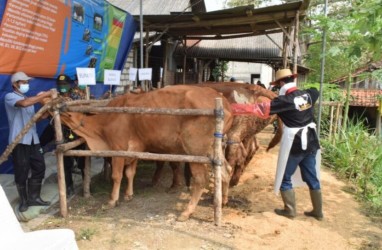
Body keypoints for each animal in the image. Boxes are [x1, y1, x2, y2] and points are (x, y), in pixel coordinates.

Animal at [55, 85, 233, 221]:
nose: (56, 103)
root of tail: (222, 100)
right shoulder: (135, 150)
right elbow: (130, 173)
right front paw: (128, 195)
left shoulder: (118, 149)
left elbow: (117, 176)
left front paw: (112, 200)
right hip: (215, 149)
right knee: (226, 171)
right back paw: (222, 201)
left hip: (195, 151)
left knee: (201, 179)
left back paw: (187, 212)